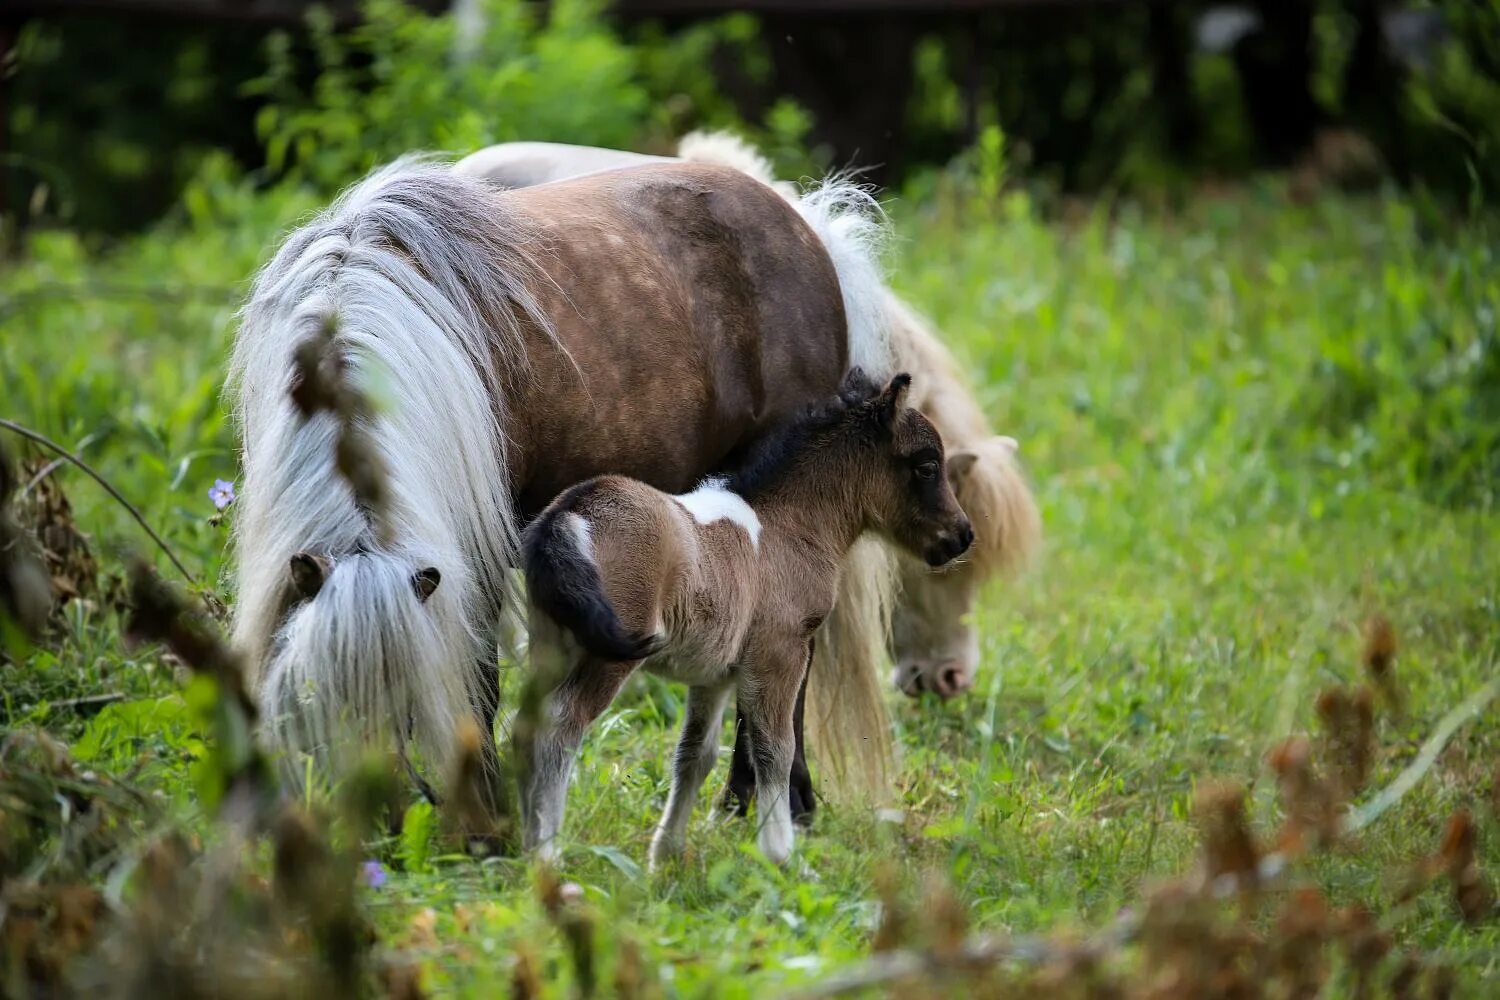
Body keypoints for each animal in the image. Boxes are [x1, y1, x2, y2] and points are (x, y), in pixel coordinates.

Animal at [522, 371, 978, 863]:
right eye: (926, 466)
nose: (962, 536)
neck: (789, 527)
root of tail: (568, 513)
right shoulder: (780, 655)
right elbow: (776, 749)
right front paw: (781, 854)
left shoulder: (715, 675)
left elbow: (695, 755)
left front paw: (666, 854)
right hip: (608, 655)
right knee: (562, 724)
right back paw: (545, 852)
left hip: (552, 644)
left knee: (526, 723)